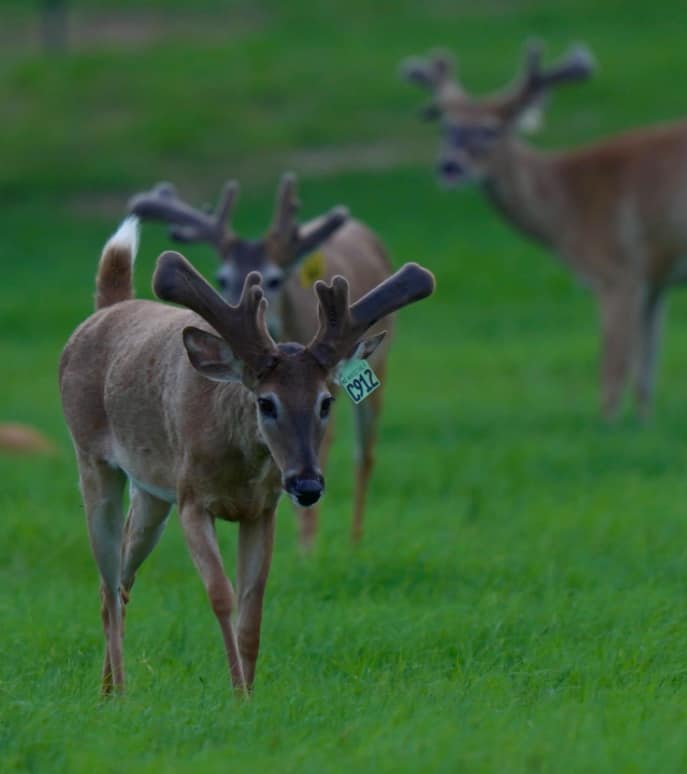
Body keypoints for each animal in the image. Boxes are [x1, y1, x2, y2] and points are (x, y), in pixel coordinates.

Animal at [58, 216, 434, 696]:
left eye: (326, 401)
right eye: (266, 402)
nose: (307, 484)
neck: (238, 468)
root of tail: (105, 311)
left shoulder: (261, 509)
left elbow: (252, 609)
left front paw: (250, 696)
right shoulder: (192, 499)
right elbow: (221, 595)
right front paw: (237, 693)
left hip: (151, 492)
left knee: (124, 575)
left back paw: (107, 690)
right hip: (92, 458)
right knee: (106, 584)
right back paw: (121, 693)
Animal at [402, 41, 687, 420]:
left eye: (491, 130)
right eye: (446, 128)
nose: (450, 166)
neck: (566, 207)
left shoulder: (617, 271)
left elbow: (613, 368)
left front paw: (608, 424)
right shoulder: (654, 280)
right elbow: (646, 372)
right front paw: (642, 423)